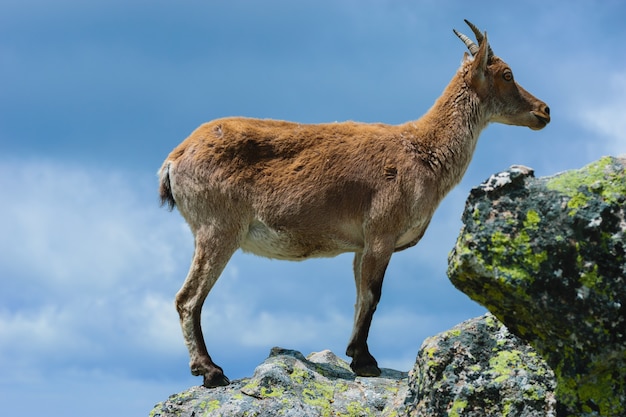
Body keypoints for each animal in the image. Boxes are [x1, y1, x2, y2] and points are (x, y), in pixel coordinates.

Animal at [157, 20, 544, 386]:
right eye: (507, 74)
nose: (544, 110)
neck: (423, 151)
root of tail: (175, 158)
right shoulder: (381, 234)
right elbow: (373, 296)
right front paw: (365, 361)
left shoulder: (361, 245)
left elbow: (359, 296)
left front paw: (354, 355)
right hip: (217, 229)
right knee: (188, 298)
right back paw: (211, 372)